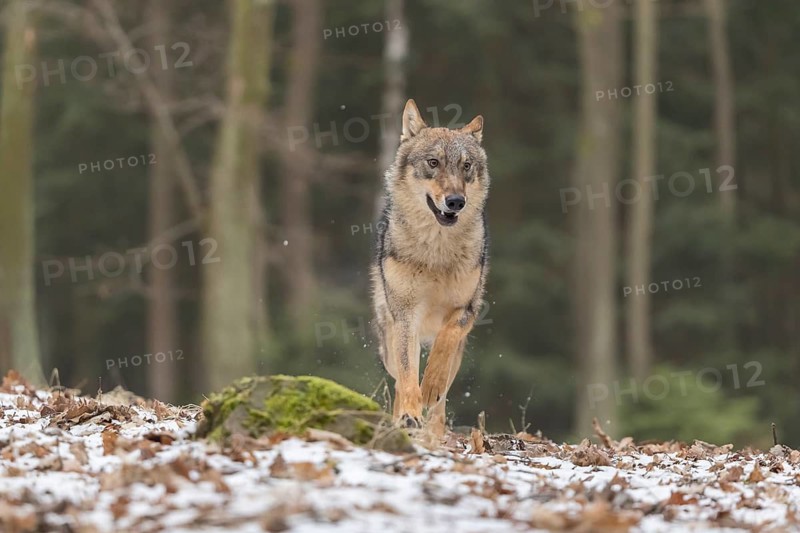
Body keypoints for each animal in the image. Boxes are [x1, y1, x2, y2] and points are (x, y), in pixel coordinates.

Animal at [371, 99, 489, 437]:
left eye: (466, 166)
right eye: (433, 162)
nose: (455, 201)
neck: (437, 251)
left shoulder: (468, 309)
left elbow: (444, 345)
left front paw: (432, 385)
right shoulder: (405, 313)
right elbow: (409, 374)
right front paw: (409, 415)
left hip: (459, 353)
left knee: (443, 393)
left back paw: (435, 428)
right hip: (388, 340)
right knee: (399, 378)